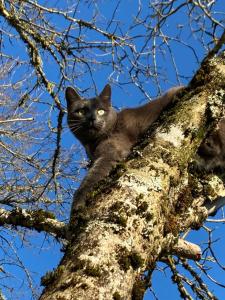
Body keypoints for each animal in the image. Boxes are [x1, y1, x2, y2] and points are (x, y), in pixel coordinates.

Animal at [65, 83, 185, 212]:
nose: (92, 118)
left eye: (101, 111)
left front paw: (77, 205)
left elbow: (91, 177)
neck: (91, 144)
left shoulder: (112, 152)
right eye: (81, 111)